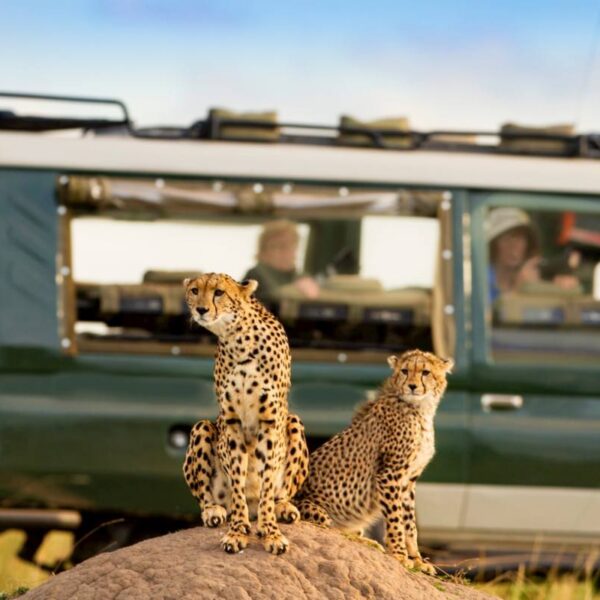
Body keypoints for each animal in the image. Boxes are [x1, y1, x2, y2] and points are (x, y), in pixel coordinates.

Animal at [182, 274, 308, 556]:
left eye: (218, 292)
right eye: (194, 290)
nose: (201, 310)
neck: (238, 341)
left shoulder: (270, 422)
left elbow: (266, 483)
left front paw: (271, 532)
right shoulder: (232, 423)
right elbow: (237, 481)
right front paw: (237, 531)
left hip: (294, 422)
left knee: (279, 492)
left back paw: (282, 509)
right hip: (203, 427)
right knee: (207, 496)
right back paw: (214, 511)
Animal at [292, 350, 452, 576]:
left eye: (425, 372)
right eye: (405, 371)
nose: (412, 386)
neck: (420, 409)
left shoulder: (409, 480)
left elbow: (410, 523)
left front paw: (417, 559)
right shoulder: (389, 474)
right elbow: (395, 518)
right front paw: (399, 555)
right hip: (316, 511)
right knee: (334, 532)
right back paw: (372, 544)